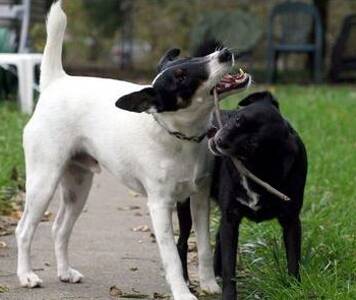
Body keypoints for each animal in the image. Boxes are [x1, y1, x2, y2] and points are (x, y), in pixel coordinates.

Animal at [15, 1, 250, 298]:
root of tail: (56, 82)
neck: (178, 137)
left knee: (59, 229)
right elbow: (172, 257)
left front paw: (209, 284)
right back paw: (26, 275)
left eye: (192, 59)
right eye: (181, 76)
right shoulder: (159, 205)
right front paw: (182, 291)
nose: (225, 53)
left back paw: (65, 272)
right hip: (43, 182)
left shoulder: (199, 199)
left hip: (78, 187)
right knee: (24, 230)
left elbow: (205, 246)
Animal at [177, 92, 308, 300]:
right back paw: (186, 279)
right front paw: (229, 295)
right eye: (238, 119)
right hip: (186, 205)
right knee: (181, 242)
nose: (218, 138)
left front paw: (294, 288)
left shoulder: (291, 221)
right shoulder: (231, 218)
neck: (255, 170)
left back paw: (213, 274)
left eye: (251, 144)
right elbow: (230, 266)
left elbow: (294, 260)